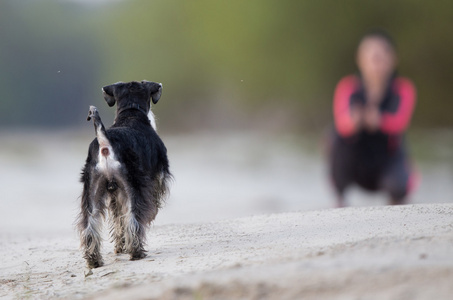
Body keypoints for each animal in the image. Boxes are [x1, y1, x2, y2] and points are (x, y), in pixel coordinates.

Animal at [77, 81, 170, 268]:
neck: (131, 113)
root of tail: (105, 144)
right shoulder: (157, 180)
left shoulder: (114, 196)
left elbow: (118, 220)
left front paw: (120, 246)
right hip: (132, 187)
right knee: (133, 219)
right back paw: (137, 251)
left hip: (93, 192)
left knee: (89, 225)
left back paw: (94, 259)